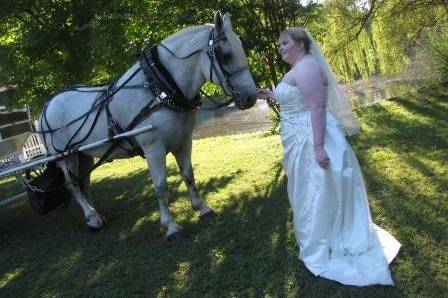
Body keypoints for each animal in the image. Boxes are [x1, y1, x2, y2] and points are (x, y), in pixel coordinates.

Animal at [37, 11, 258, 240]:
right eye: (226, 55)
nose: (251, 97)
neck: (159, 89)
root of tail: (46, 107)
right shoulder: (154, 148)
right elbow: (160, 186)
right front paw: (171, 226)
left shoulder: (183, 141)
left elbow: (188, 175)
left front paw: (202, 208)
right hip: (64, 157)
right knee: (72, 185)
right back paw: (91, 217)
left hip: (83, 154)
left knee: (84, 182)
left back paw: (94, 216)